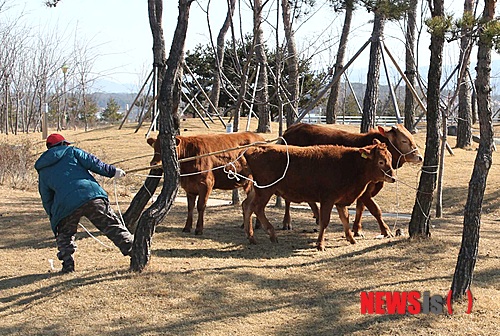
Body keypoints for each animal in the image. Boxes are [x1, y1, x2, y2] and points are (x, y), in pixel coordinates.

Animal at [240, 140, 396, 251]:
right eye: (381, 161)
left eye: (390, 158)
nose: (393, 178)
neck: (349, 164)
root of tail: (253, 149)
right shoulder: (328, 199)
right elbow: (324, 221)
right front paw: (320, 244)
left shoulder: (340, 201)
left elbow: (345, 218)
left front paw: (351, 238)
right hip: (266, 190)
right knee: (257, 208)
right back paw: (271, 234)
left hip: (256, 189)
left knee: (247, 206)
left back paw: (250, 236)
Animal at [282, 122, 422, 236]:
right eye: (404, 141)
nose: (419, 157)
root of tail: (291, 129)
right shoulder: (364, 191)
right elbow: (375, 209)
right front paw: (386, 230)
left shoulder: (363, 190)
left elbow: (360, 209)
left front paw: (357, 229)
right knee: (287, 200)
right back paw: (287, 222)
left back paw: (317, 216)